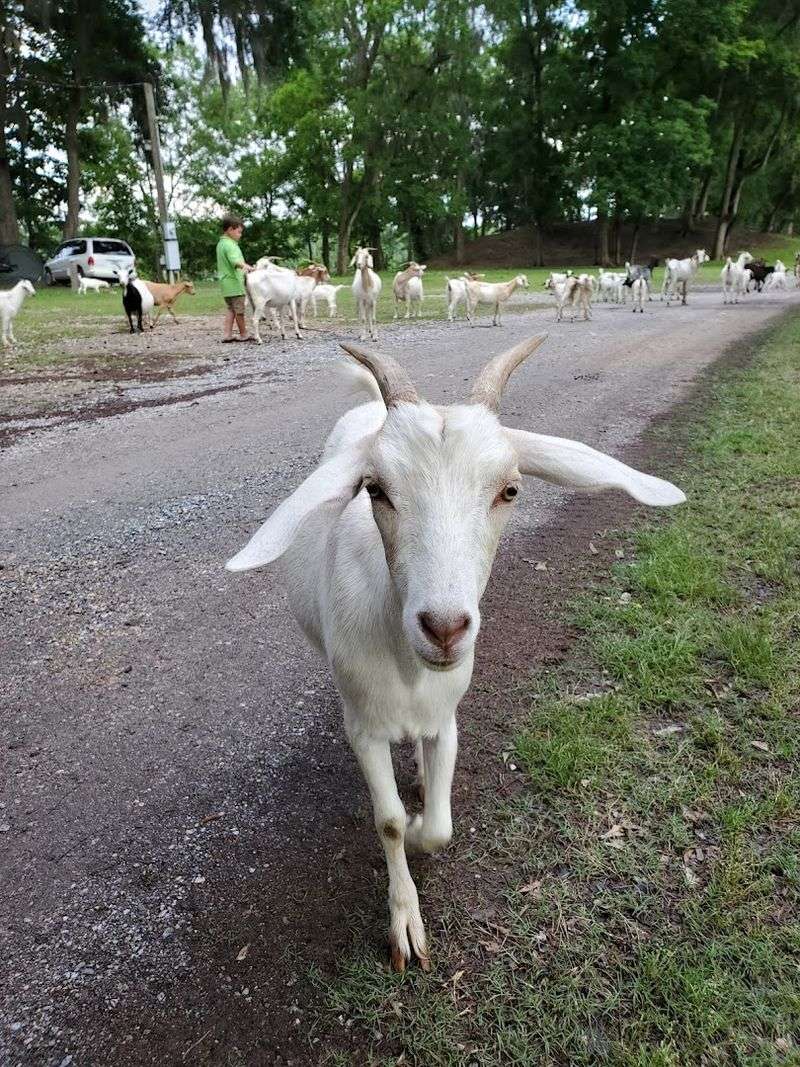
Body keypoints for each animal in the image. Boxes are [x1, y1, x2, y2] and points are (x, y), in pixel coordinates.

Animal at [225, 337, 686, 971]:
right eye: (375, 490)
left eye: (510, 489)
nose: (444, 629)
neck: (407, 667)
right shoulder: (364, 728)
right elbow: (390, 822)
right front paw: (405, 922)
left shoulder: (446, 720)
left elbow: (440, 825)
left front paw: (426, 817)